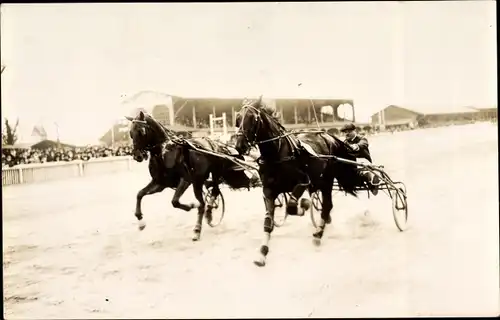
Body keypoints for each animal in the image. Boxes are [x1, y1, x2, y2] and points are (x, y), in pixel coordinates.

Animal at [234, 96, 360, 266]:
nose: (239, 146)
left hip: (326, 180)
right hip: (318, 180)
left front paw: (304, 205)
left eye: (252, 118)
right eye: (237, 118)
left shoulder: (302, 182)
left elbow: (292, 207)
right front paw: (262, 253)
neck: (277, 153)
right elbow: (268, 222)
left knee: (327, 206)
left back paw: (318, 234)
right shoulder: (268, 190)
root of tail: (329, 137)